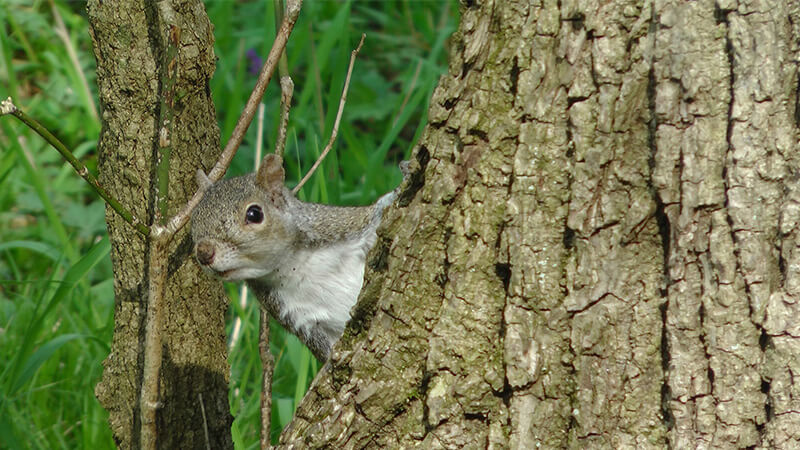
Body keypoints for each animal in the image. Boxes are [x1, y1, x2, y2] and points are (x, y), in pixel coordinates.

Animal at [191, 153, 396, 360]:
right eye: (193, 221)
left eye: (254, 214)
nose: (204, 252)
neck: (294, 265)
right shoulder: (299, 318)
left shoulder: (342, 225)